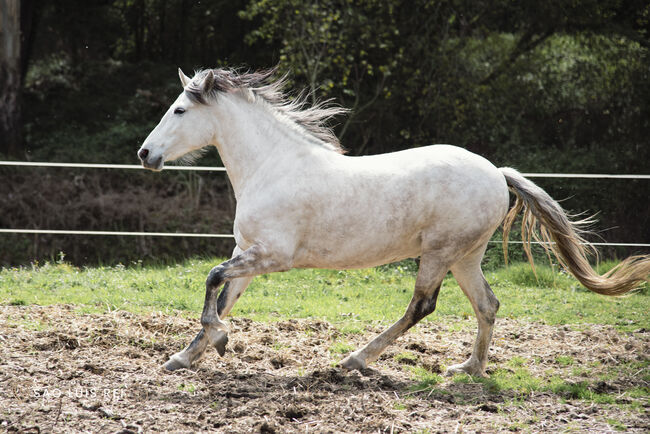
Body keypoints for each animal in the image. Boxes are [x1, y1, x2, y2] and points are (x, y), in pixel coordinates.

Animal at [138, 68, 648, 376]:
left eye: (180, 110)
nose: (145, 154)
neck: (272, 166)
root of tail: (496, 172)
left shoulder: (272, 257)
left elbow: (211, 279)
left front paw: (218, 342)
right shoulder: (248, 254)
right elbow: (223, 297)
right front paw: (183, 357)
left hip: (439, 253)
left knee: (422, 306)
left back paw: (356, 359)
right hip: (466, 256)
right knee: (487, 305)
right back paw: (469, 371)